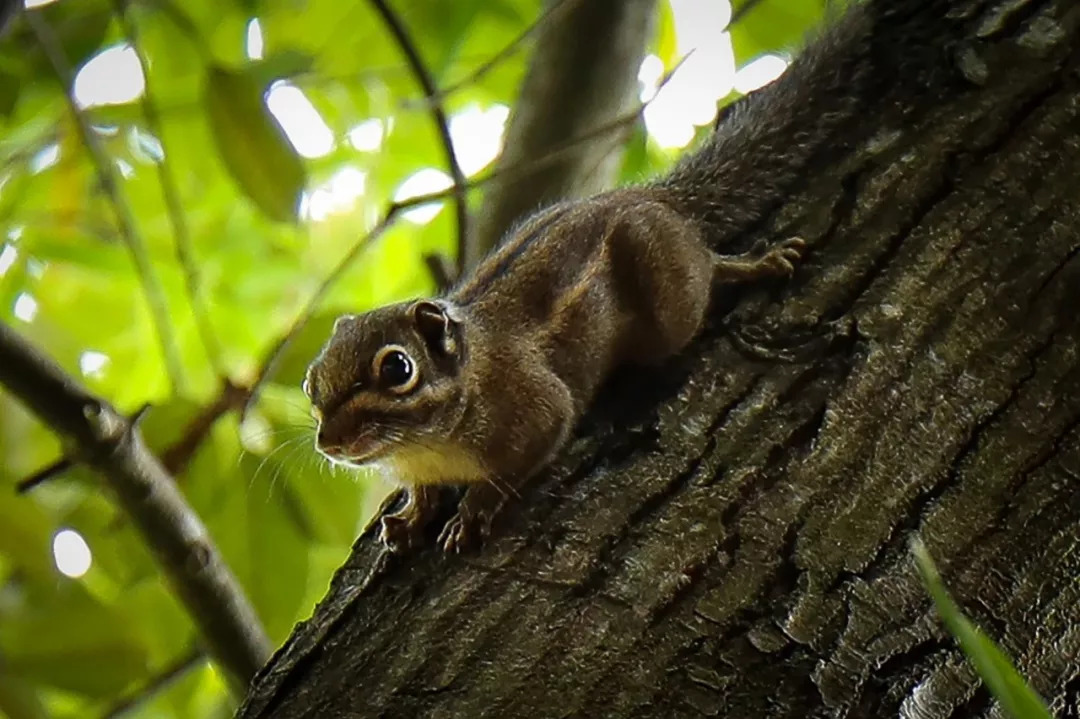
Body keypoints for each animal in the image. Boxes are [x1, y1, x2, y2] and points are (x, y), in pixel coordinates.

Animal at [300, 1, 889, 548]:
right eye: (311, 381)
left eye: (397, 369)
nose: (329, 443)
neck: (429, 441)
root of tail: (649, 197)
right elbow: (422, 491)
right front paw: (411, 516)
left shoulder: (537, 409)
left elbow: (519, 461)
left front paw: (474, 510)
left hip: (668, 294)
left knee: (705, 274)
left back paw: (748, 265)